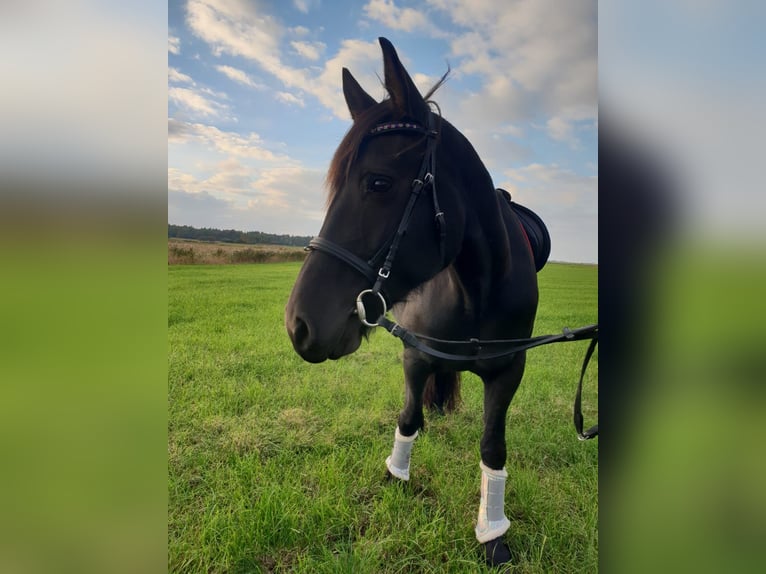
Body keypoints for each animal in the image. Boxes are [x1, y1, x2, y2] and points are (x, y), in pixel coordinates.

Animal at [286, 39, 544, 568]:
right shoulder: (415, 354)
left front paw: (492, 533)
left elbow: (493, 446)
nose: (298, 324)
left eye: (378, 183)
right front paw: (396, 476)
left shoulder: (510, 370)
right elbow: (408, 418)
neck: (476, 289)